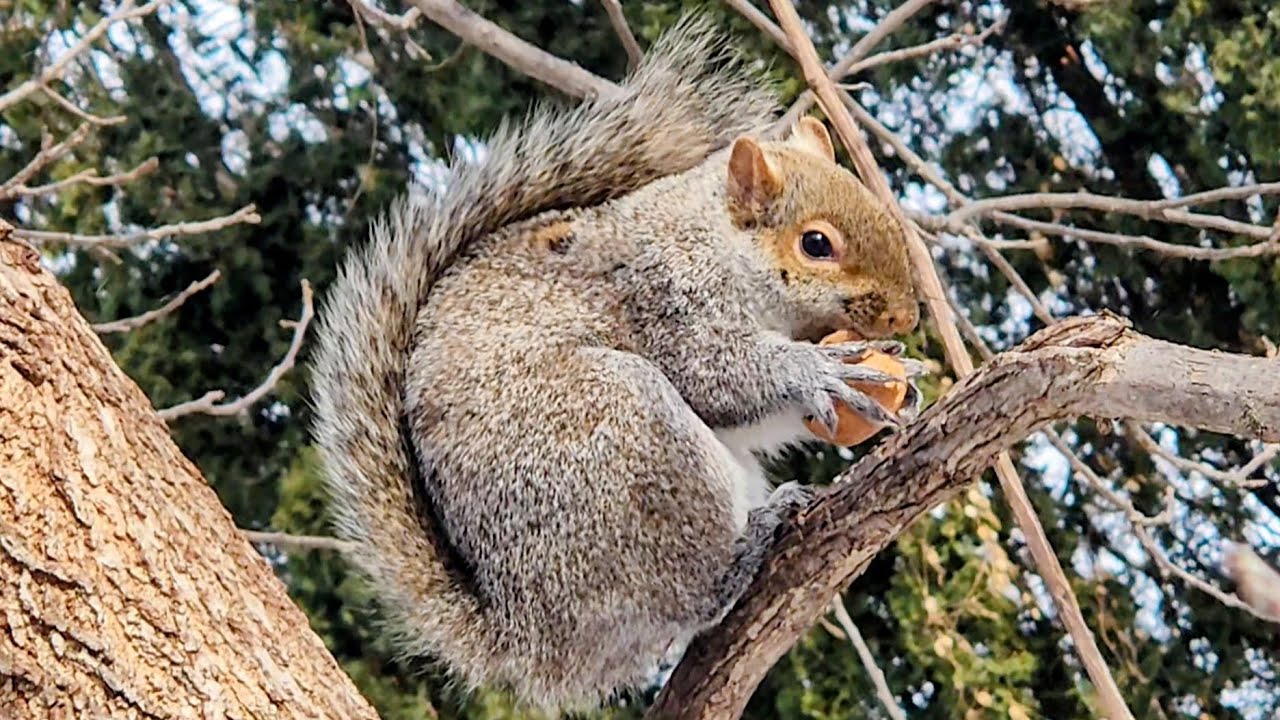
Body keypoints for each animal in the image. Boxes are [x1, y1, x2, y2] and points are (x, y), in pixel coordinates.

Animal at [310, 15, 919, 716]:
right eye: (816, 244)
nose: (907, 317)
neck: (713, 239)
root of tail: (535, 636)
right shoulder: (665, 296)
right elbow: (717, 374)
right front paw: (819, 371)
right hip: (629, 432)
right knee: (687, 598)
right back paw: (744, 553)